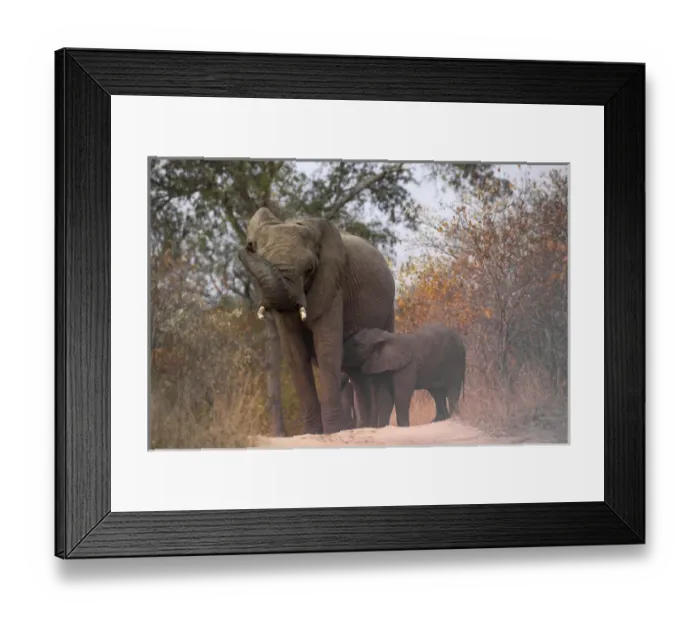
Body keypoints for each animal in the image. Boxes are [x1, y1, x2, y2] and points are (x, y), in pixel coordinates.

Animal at [237, 207, 396, 435]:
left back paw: (375, 427)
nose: (247, 247)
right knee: (358, 376)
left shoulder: (332, 285)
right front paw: (313, 433)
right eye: (263, 259)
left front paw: (333, 432)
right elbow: (295, 354)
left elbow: (326, 349)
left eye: (309, 270)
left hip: (388, 310)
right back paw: (366, 427)